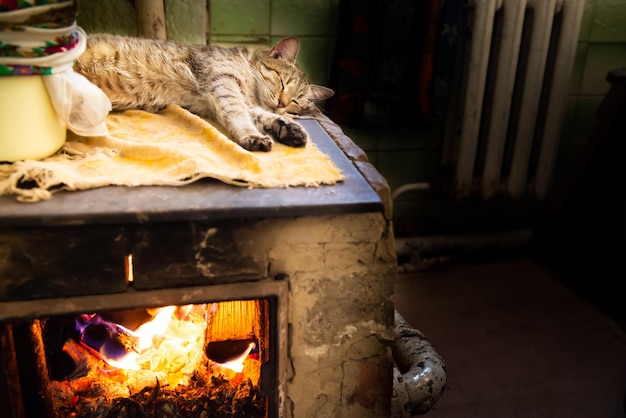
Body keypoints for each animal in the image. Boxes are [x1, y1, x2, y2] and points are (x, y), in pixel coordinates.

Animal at [74, 34, 332, 152]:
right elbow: (239, 115)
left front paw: (286, 128)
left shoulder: (215, 101)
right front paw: (253, 136)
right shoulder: (223, 84)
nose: (282, 103)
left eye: (296, 102)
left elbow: (260, 115)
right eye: (282, 82)